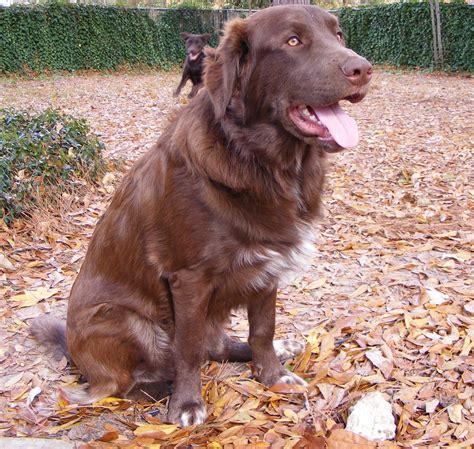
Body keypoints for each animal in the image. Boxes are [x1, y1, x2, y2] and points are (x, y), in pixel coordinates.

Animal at [31, 5, 372, 426]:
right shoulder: (189, 279)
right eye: (293, 41)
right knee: (121, 385)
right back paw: (161, 388)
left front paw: (272, 374)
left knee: (219, 346)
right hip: (121, 319)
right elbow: (189, 350)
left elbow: (262, 331)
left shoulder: (268, 268)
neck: (260, 161)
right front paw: (187, 403)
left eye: (338, 35)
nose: (363, 69)